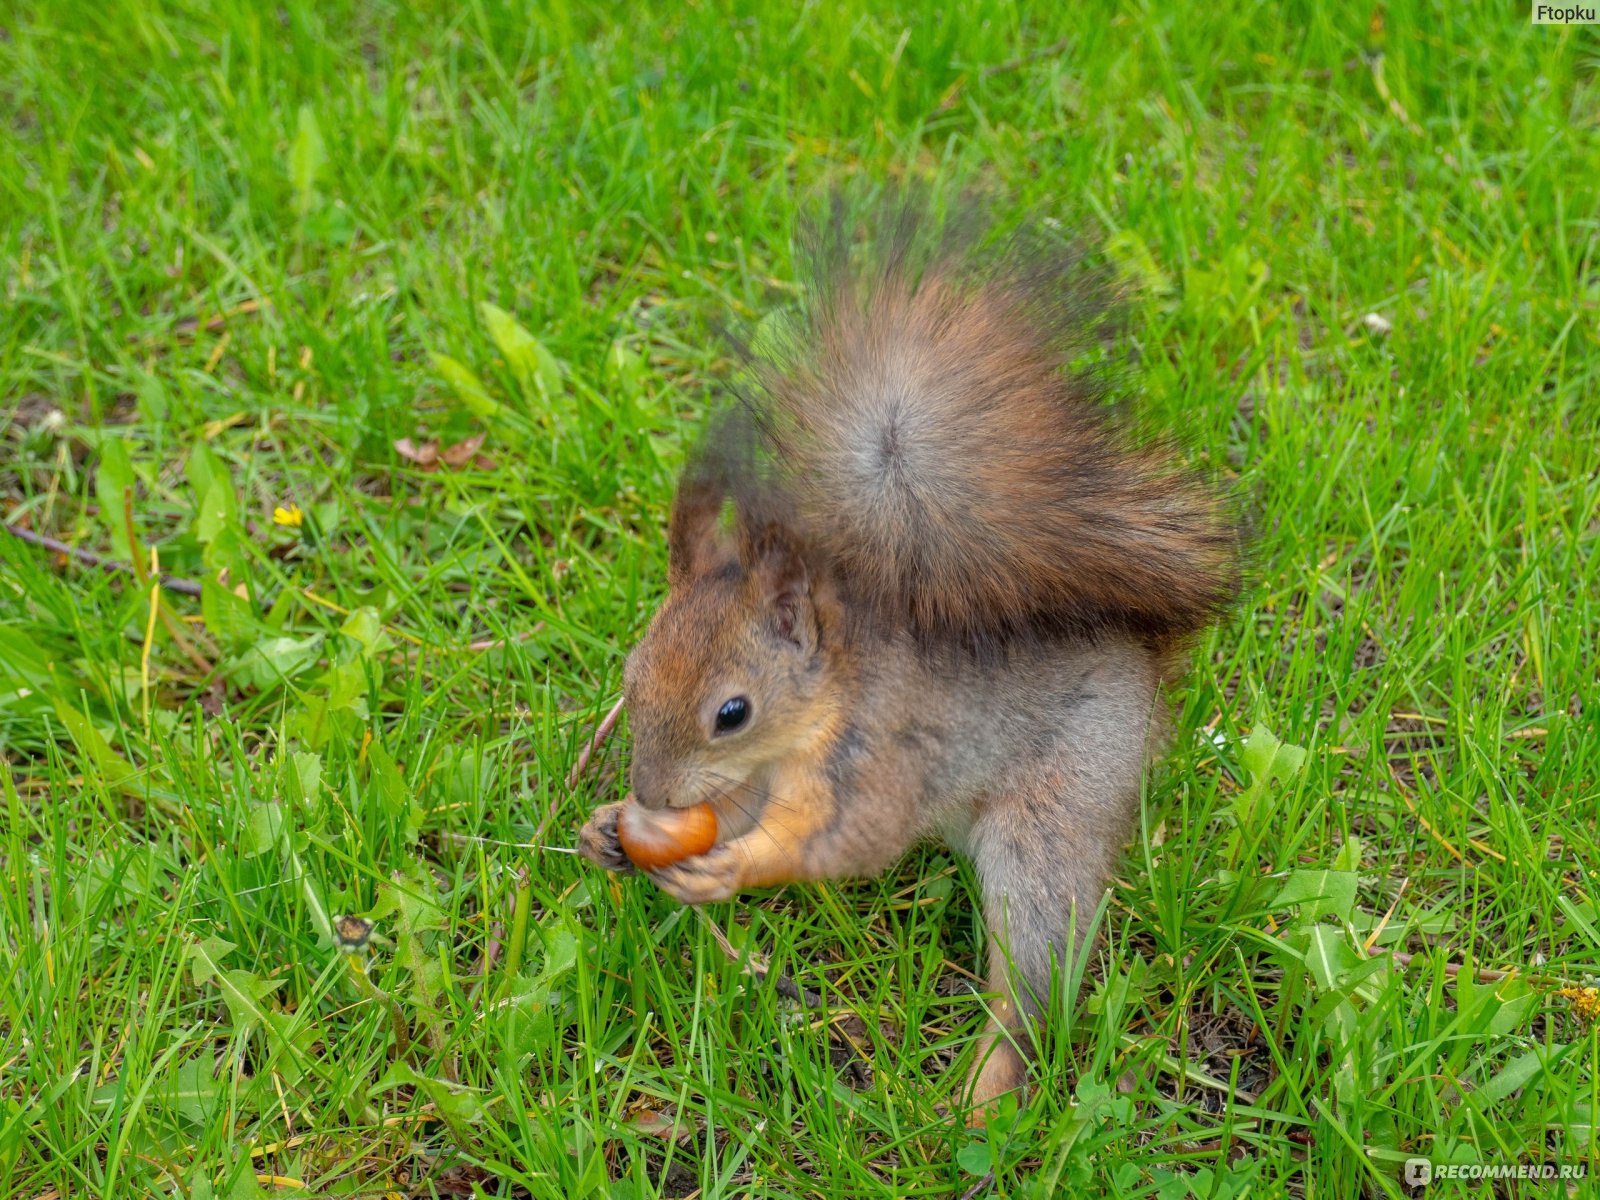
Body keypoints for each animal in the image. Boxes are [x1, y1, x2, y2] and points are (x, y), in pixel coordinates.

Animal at [582, 204, 1241, 1120]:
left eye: (732, 713)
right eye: (632, 676)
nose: (651, 793)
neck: (820, 708)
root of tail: (1143, 667)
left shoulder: (878, 759)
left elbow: (848, 841)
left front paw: (732, 869)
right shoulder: (748, 786)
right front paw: (606, 828)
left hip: (1057, 811)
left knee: (1035, 980)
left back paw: (981, 1097)